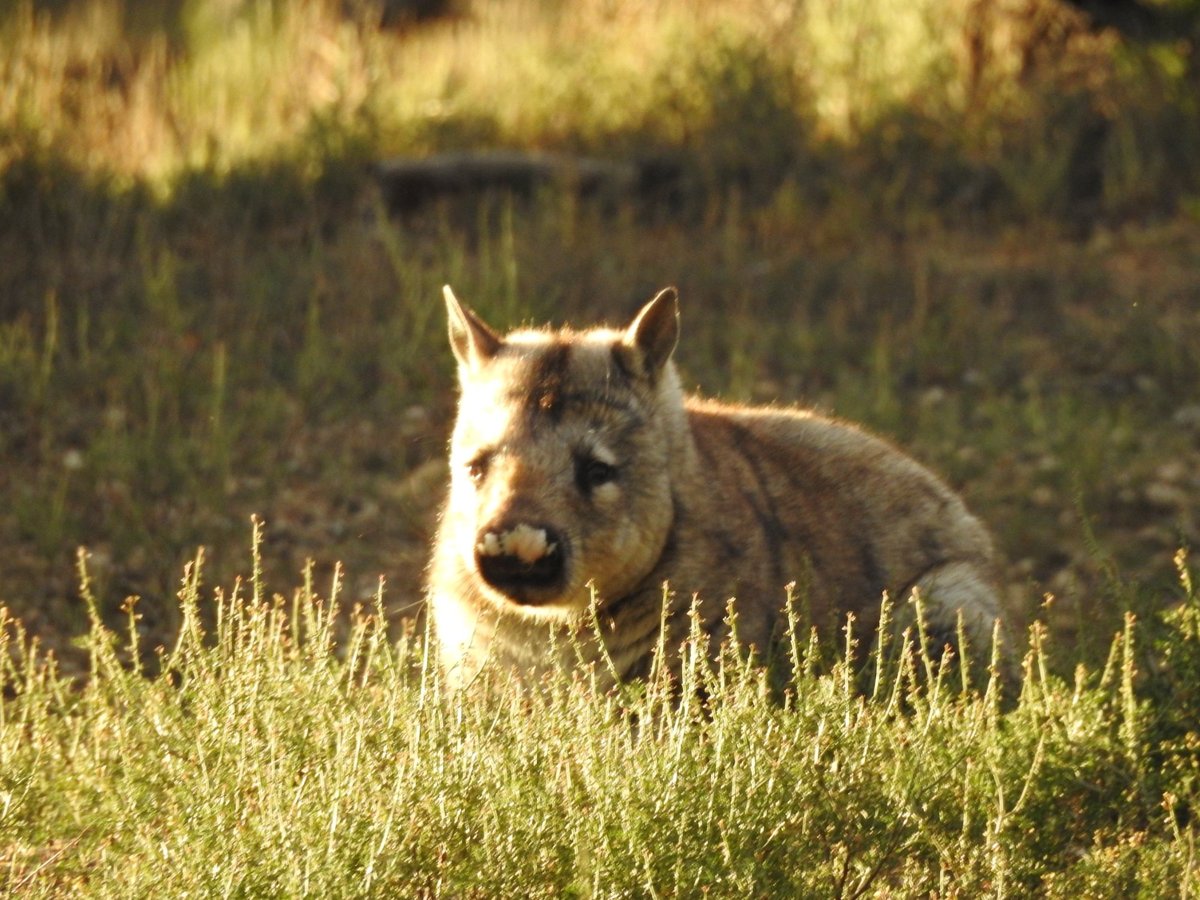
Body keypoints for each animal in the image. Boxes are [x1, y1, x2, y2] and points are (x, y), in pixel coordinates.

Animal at [427, 289, 1008, 691]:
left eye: (597, 471)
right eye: (475, 468)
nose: (517, 550)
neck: (558, 623)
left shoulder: (707, 635)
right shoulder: (472, 641)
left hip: (949, 599)